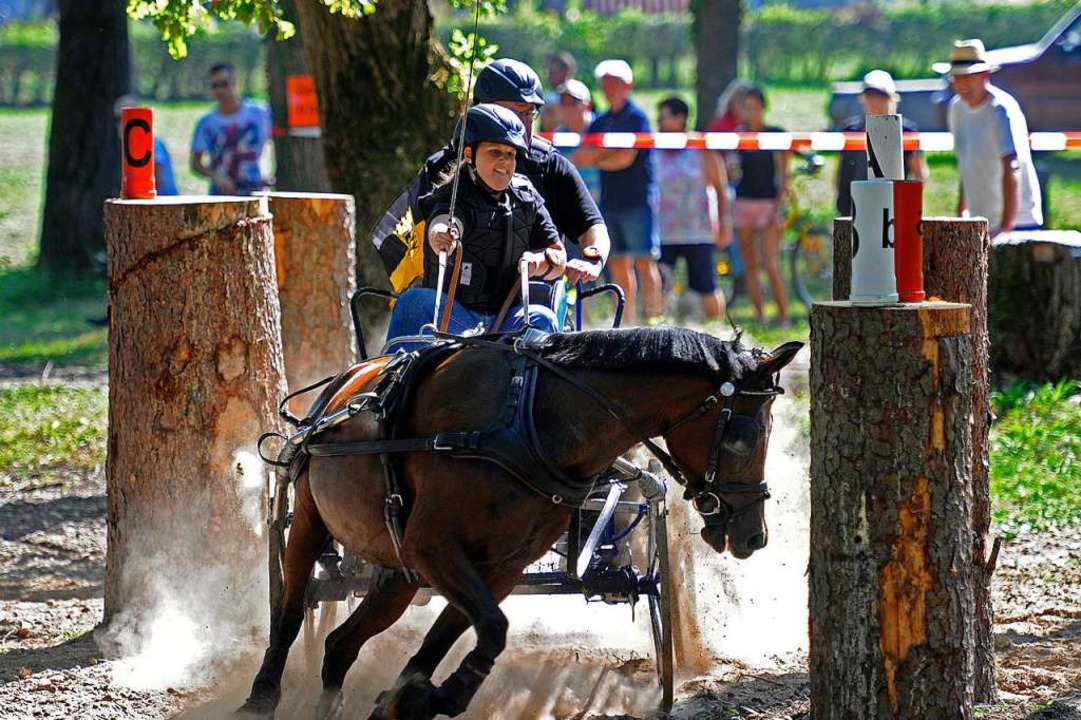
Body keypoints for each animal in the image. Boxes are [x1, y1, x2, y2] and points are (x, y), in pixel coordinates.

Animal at [241, 326, 808, 717]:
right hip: (310, 519)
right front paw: (440, 694)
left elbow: (458, 637)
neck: (530, 421)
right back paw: (261, 695)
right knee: (290, 612)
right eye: (745, 436)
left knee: (340, 646)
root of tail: (341, 386)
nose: (754, 535)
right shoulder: (435, 547)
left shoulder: (498, 565)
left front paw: (413, 697)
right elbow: (491, 628)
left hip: (400, 570)